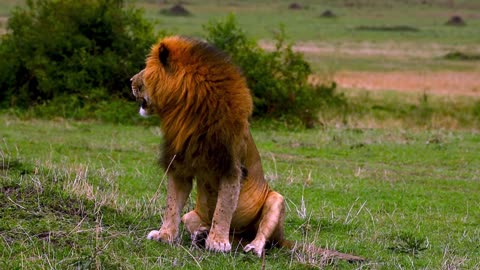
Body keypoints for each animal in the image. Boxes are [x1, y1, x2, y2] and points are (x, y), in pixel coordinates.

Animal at [130, 35, 364, 262]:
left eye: (146, 68)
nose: (130, 81)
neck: (187, 113)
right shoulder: (180, 166)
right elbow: (172, 205)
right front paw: (165, 235)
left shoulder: (231, 169)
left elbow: (223, 209)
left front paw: (217, 243)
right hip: (192, 216)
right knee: (225, 234)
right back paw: (202, 236)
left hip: (276, 201)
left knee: (261, 238)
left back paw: (250, 247)